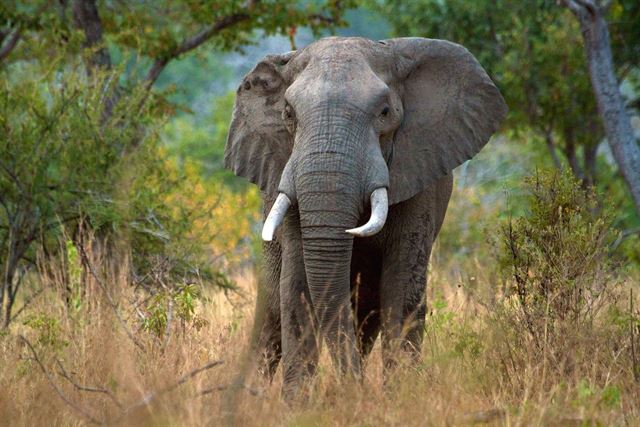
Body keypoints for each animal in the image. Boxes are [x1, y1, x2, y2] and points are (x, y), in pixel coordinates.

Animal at [224, 36, 507, 398]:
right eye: (288, 113)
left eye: (384, 113)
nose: (351, 388)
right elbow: (296, 288)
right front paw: (299, 402)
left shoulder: (419, 175)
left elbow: (402, 290)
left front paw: (398, 396)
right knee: (272, 313)